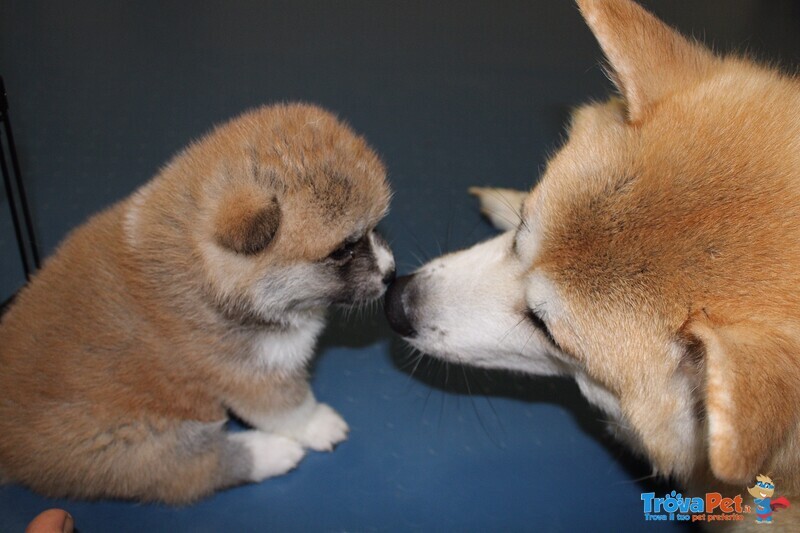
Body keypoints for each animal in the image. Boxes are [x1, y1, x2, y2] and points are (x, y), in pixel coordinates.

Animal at [0, 101, 394, 502]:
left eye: (375, 227)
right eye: (343, 249)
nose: (391, 274)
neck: (206, 270)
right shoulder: (255, 378)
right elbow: (292, 407)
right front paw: (318, 424)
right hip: (137, 445)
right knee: (199, 467)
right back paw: (273, 452)